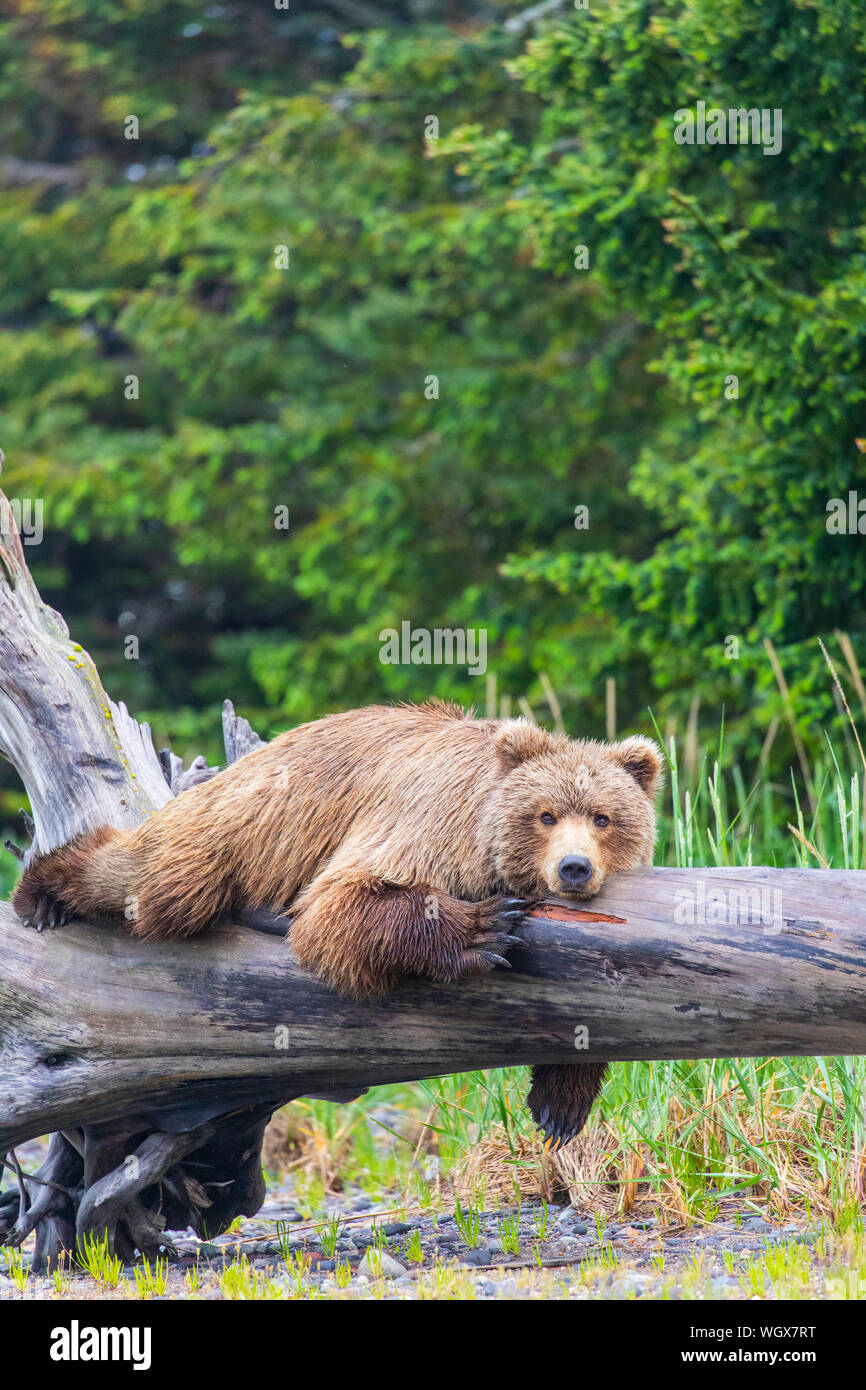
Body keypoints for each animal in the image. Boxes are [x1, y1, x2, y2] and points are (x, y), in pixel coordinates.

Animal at [13, 700, 661, 1145]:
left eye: (603, 817)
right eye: (545, 815)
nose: (574, 868)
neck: (485, 845)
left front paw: (561, 1101)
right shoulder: (429, 824)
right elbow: (341, 906)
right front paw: (486, 927)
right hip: (234, 830)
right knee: (148, 883)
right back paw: (41, 893)